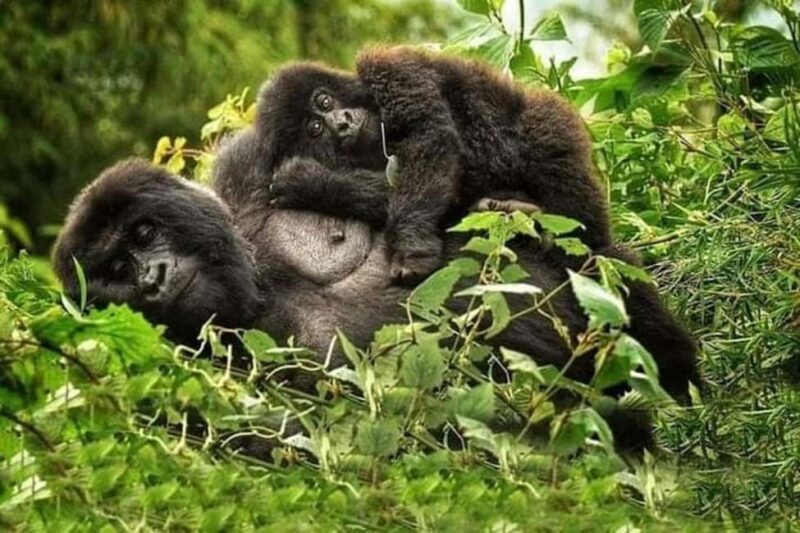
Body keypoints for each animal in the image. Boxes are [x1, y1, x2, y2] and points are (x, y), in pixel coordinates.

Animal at [248, 46, 611, 283]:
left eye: (324, 101)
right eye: (315, 128)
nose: (342, 123)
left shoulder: (389, 68)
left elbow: (429, 136)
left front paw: (411, 251)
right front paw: (315, 185)